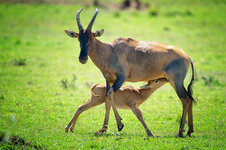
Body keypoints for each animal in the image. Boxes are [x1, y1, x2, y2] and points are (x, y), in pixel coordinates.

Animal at [64, 8, 195, 137]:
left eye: (91, 37)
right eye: (79, 38)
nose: (82, 59)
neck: (111, 51)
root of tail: (187, 56)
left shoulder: (121, 78)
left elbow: (110, 95)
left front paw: (120, 125)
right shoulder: (109, 79)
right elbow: (107, 100)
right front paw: (103, 129)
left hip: (175, 81)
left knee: (185, 99)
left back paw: (180, 132)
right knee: (190, 99)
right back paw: (189, 131)